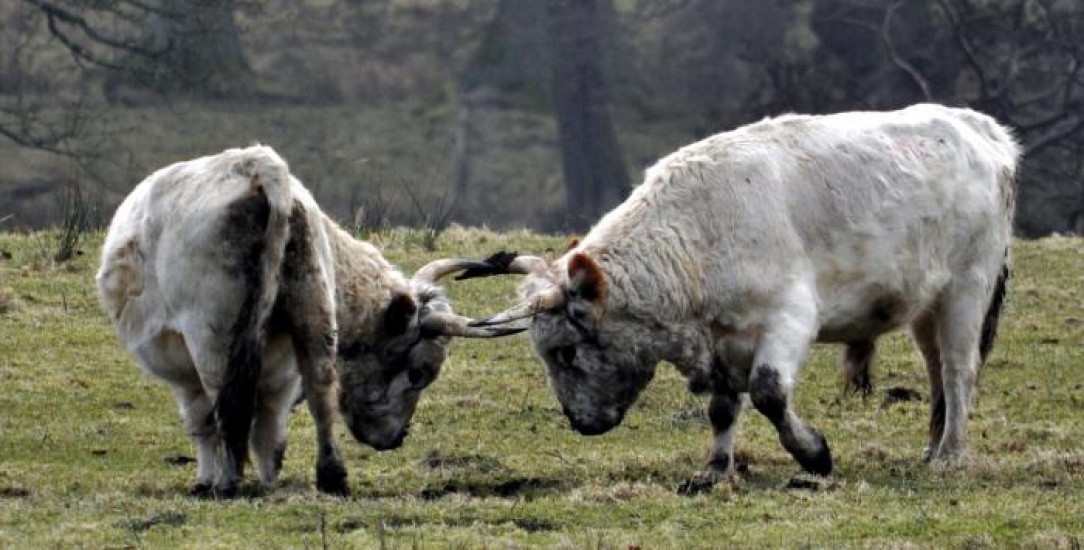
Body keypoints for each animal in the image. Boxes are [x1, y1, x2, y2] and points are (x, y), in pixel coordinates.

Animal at [96, 145, 523, 497]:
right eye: (417, 372)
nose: (398, 437)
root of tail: (261, 168)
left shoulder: (184, 366)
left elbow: (203, 419)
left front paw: (208, 479)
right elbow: (269, 424)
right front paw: (270, 476)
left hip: (213, 332)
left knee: (228, 402)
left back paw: (228, 481)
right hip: (312, 310)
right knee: (320, 389)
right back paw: (331, 475)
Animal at [462, 104, 1018, 479]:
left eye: (566, 351)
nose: (578, 422)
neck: (698, 237)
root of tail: (981, 129)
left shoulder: (790, 317)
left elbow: (769, 391)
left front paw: (814, 454)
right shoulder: (720, 340)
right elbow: (723, 406)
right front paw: (714, 469)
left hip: (968, 288)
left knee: (959, 370)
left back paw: (950, 456)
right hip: (927, 305)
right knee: (937, 372)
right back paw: (932, 448)